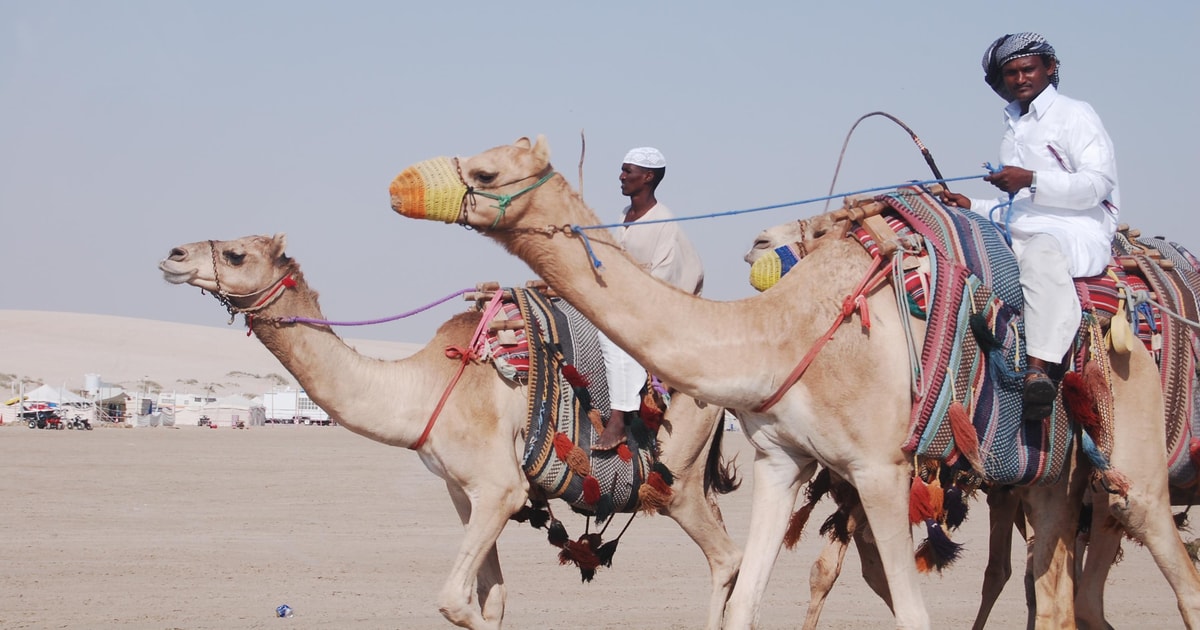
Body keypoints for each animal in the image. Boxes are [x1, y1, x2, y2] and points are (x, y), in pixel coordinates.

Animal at [157, 234, 742, 630]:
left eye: (236, 254)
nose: (174, 255)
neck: (423, 386)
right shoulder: (466, 493)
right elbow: (493, 597)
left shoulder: (499, 488)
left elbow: (455, 601)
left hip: (675, 481)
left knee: (725, 558)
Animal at [387, 136, 1200, 629]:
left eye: (485, 172)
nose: (398, 185)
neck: (788, 333)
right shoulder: (784, 460)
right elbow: (745, 602)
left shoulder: (879, 469)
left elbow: (911, 611)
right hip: (1051, 479)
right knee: (1059, 595)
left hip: (1131, 458)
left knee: (1175, 570)